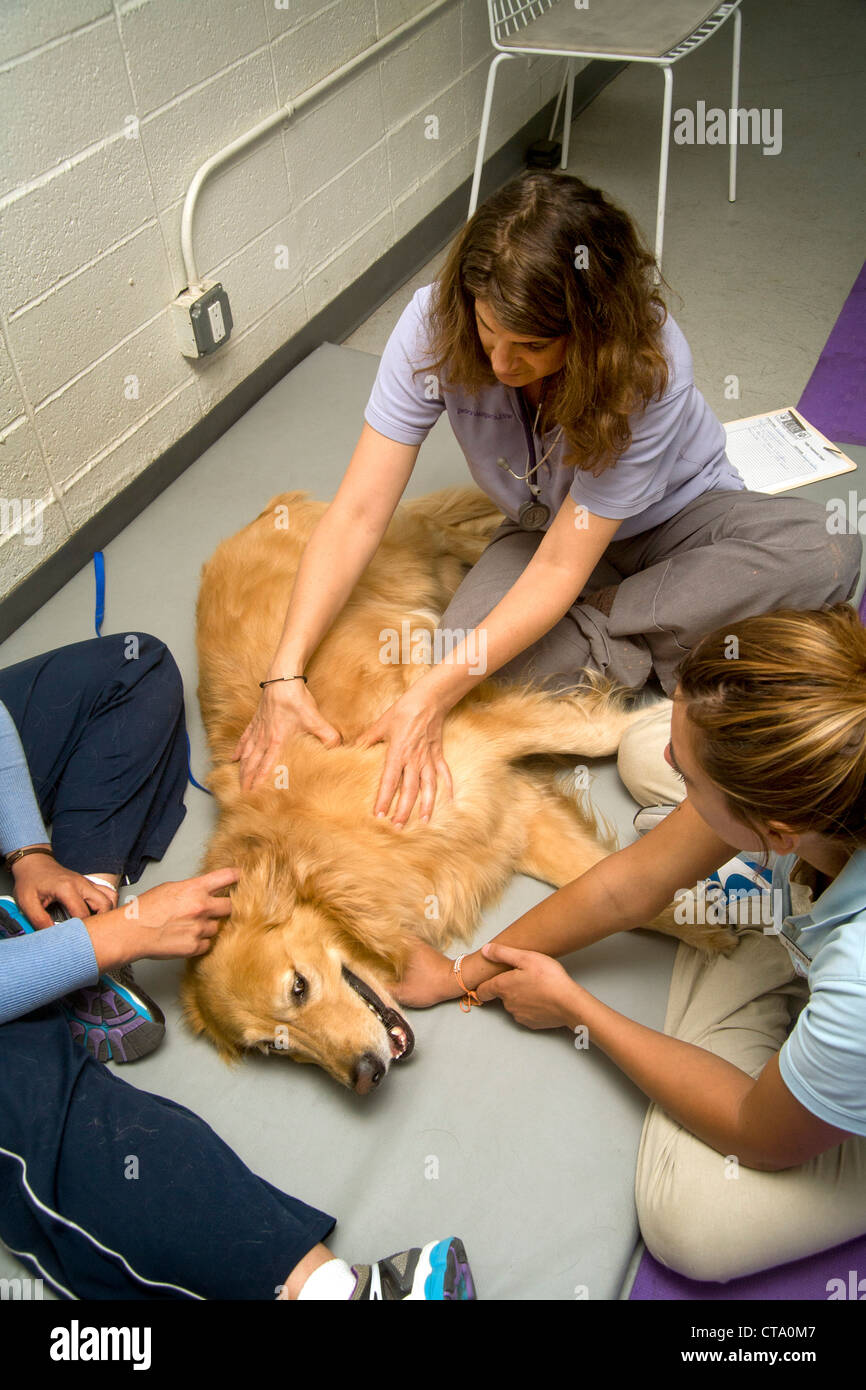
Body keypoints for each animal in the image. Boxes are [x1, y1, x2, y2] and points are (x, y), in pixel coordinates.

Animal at [184, 489, 739, 1095]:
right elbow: (605, 886)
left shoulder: (470, 737)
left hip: (404, 552)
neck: (329, 848)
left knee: (459, 533)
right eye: (274, 1048)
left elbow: (598, 735)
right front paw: (706, 929)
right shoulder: (512, 820)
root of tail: (262, 516)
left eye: (298, 986)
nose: (363, 1076)